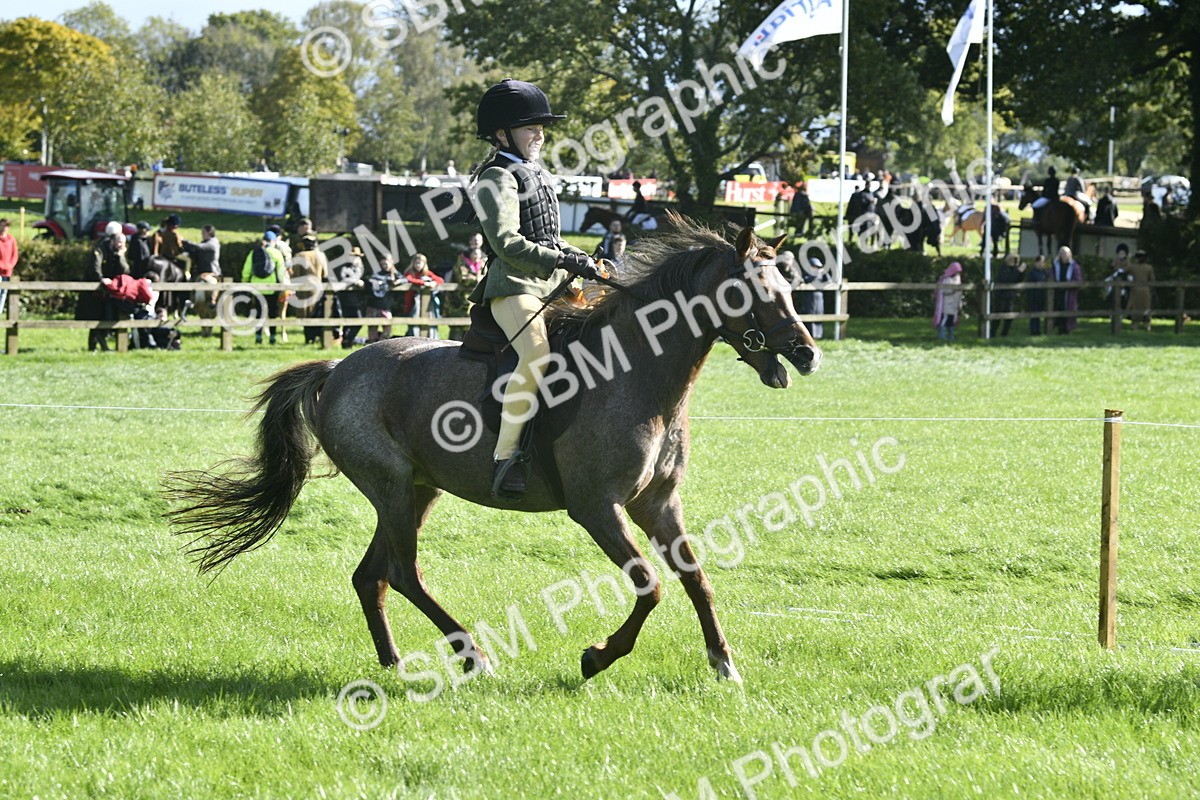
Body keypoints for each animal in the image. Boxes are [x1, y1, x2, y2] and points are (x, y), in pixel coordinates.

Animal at [164, 218, 822, 684]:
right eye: (753, 292)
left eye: (790, 289)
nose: (808, 353)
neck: (637, 374)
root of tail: (338, 367)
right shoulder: (597, 508)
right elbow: (650, 584)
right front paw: (597, 657)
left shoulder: (657, 503)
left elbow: (694, 577)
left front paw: (723, 662)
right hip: (394, 489)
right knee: (402, 573)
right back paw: (473, 656)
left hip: (415, 491)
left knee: (371, 577)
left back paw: (394, 663)